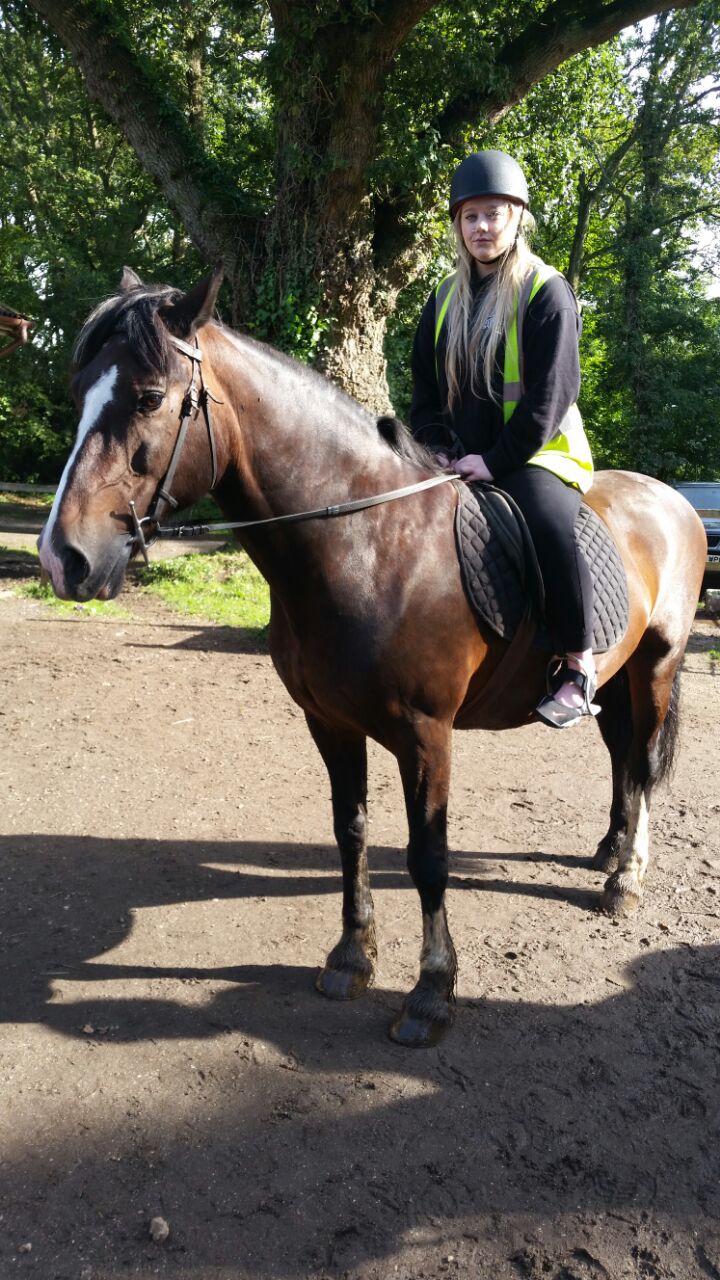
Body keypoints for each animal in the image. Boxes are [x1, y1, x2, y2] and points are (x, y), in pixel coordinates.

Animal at [38, 265, 706, 1047]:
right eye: (79, 391)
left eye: (148, 397)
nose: (64, 559)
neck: (366, 543)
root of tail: (672, 500)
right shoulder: (329, 723)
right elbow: (350, 833)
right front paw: (352, 956)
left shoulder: (426, 735)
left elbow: (429, 855)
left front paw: (431, 991)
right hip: (615, 677)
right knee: (621, 756)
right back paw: (609, 850)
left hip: (657, 665)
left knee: (643, 760)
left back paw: (626, 879)